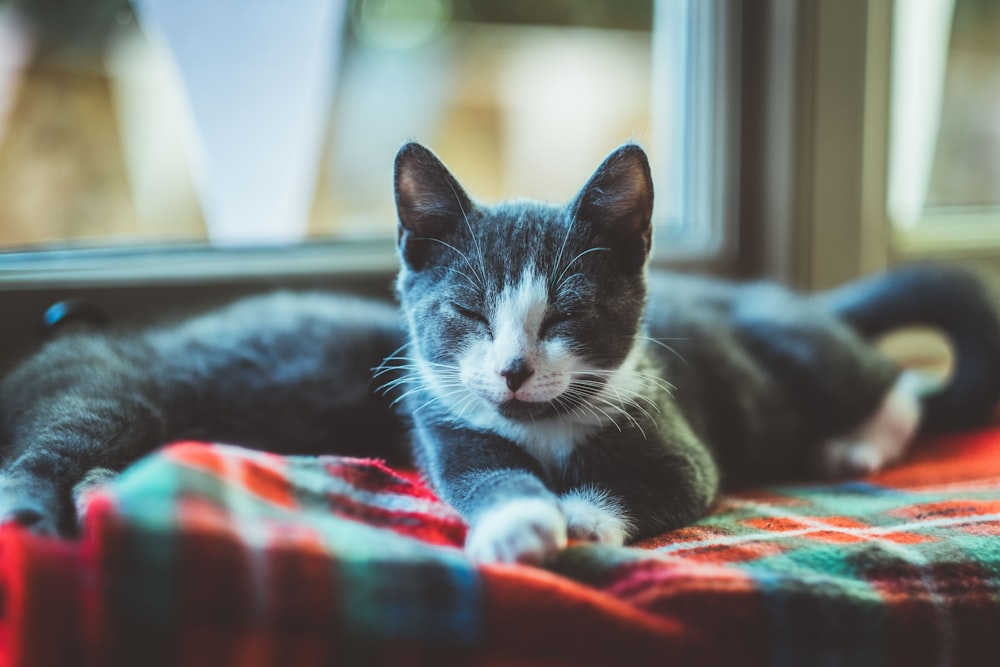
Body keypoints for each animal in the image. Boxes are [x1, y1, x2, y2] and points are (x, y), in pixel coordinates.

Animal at [1, 144, 1000, 568]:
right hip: (119, 390)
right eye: (471, 312)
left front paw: (582, 518)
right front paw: (521, 520)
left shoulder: (677, 434)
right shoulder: (444, 423)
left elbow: (656, 482)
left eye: (567, 312)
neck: (547, 422)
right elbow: (486, 476)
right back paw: (67, 499)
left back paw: (860, 439)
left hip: (797, 347)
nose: (514, 370)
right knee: (55, 444)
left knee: (887, 377)